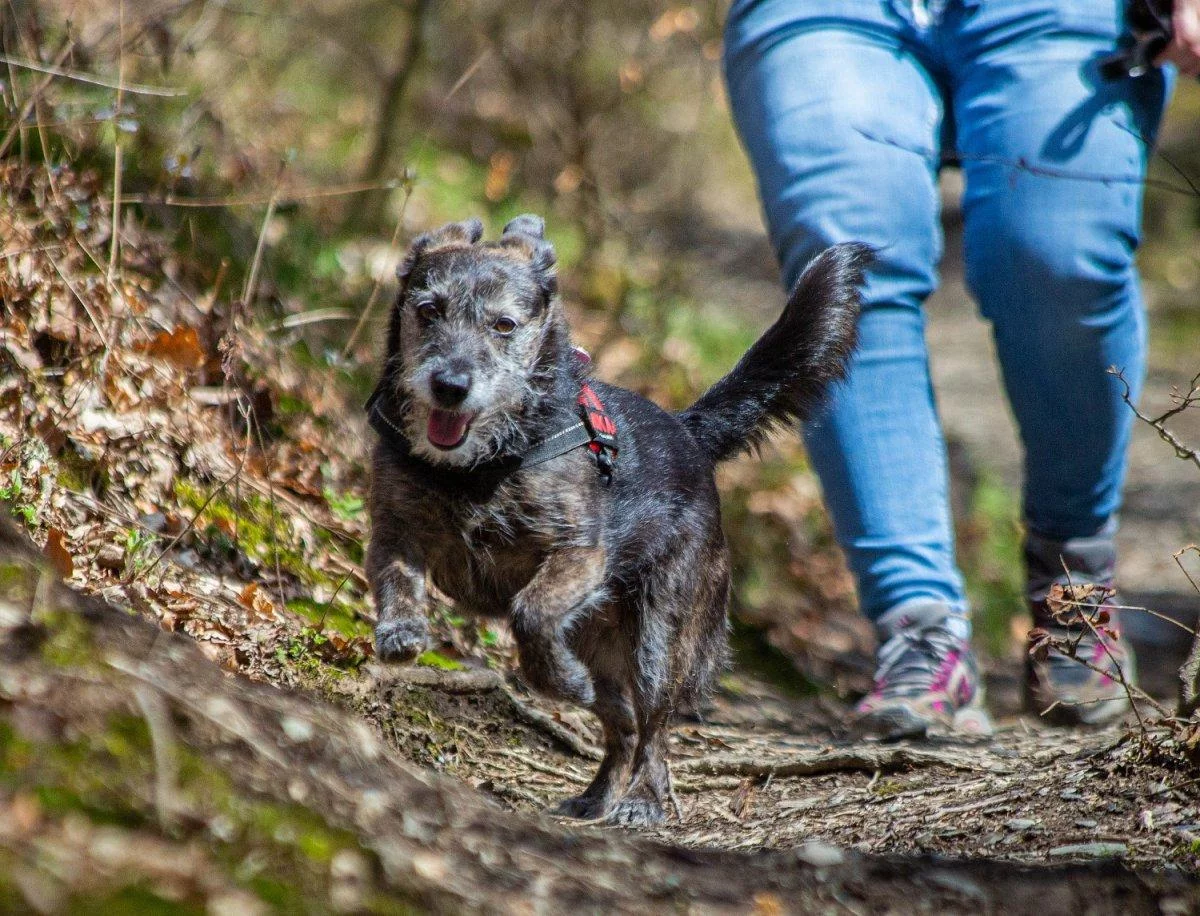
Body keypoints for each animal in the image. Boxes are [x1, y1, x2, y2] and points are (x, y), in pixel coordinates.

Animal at [364, 218, 873, 825]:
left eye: (504, 325)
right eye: (428, 310)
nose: (450, 385)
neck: (479, 465)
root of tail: (688, 431)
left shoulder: (579, 553)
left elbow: (530, 612)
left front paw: (560, 680)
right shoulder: (394, 528)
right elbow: (396, 576)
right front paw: (402, 631)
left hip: (658, 639)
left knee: (654, 725)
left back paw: (643, 799)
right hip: (600, 643)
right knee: (623, 726)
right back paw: (596, 794)